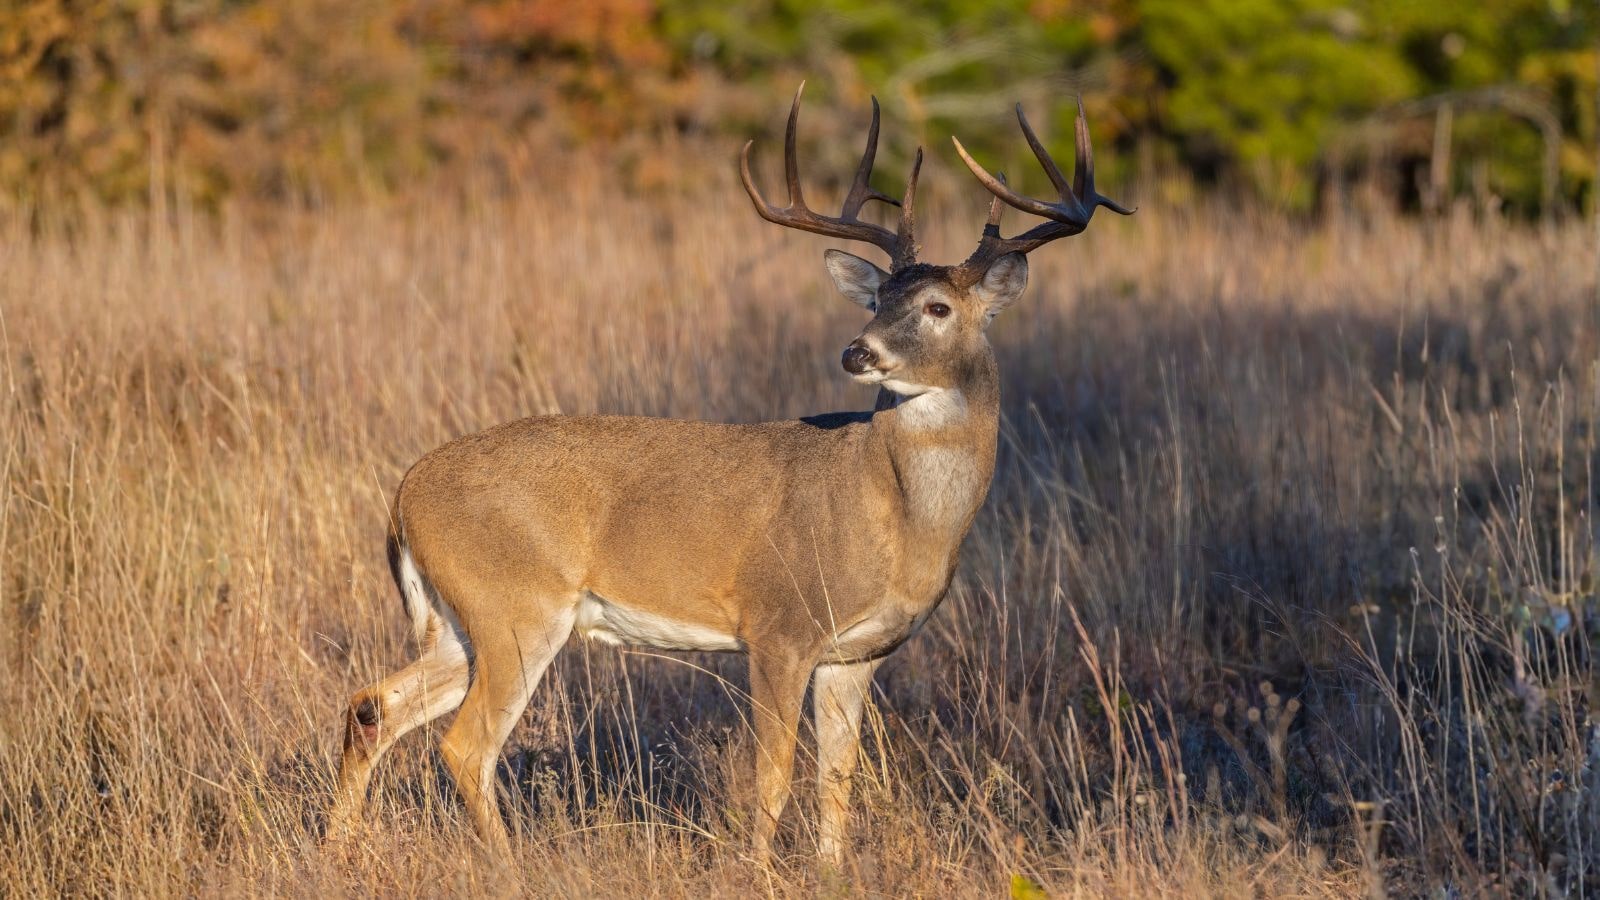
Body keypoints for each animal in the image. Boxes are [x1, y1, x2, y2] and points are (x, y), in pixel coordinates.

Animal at [327, 83, 1131, 864]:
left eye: (936, 307)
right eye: (878, 298)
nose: (857, 351)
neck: (895, 514)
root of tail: (404, 496)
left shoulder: (857, 653)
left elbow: (838, 775)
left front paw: (830, 872)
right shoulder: (779, 625)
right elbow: (773, 774)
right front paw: (760, 871)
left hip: (456, 621)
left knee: (372, 705)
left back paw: (343, 849)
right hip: (515, 605)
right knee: (464, 745)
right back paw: (510, 865)